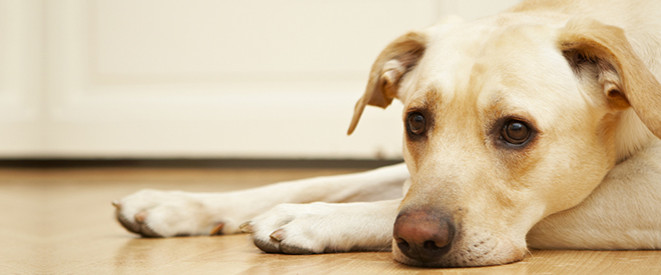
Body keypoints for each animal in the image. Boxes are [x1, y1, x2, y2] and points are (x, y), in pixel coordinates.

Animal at [113, 0, 660, 268]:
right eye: (415, 121)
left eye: (516, 130)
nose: (417, 238)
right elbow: (322, 182)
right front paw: (177, 204)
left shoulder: (643, 192)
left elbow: (385, 204)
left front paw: (310, 220)